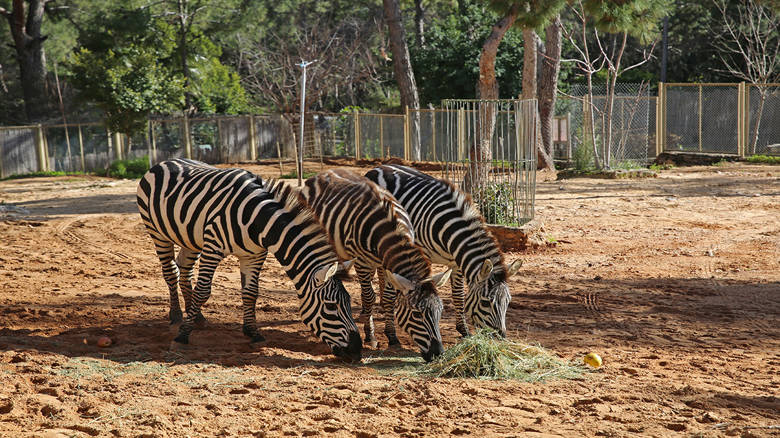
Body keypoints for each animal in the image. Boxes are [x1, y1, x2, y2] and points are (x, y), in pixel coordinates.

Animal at [137, 159, 362, 362]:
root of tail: (166, 161)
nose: (357, 351)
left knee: (184, 269)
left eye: (349, 303)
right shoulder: (212, 247)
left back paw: (198, 316)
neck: (258, 220)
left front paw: (253, 333)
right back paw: (176, 316)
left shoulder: (254, 255)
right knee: (171, 271)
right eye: (331, 307)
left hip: (190, 238)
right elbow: (203, 291)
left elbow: (251, 293)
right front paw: (182, 335)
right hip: (158, 233)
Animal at [298, 169, 448, 362]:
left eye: (440, 311)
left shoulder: (389, 264)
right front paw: (371, 335)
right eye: (416, 314)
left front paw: (392, 337)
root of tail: (324, 172)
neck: (388, 231)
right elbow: (369, 296)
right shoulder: (362, 262)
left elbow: (389, 298)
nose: (439, 354)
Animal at [368, 164, 524, 338]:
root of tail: (380, 166)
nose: (500, 336)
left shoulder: (457, 262)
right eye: (486, 302)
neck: (450, 229)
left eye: (508, 301)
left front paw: (463, 330)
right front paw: (390, 332)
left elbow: (458, 296)